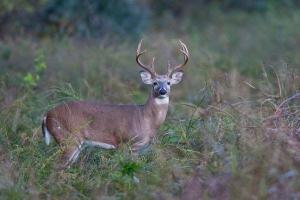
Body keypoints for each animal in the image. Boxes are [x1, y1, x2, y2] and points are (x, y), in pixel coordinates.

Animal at [42, 40, 189, 169]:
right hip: (67, 138)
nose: (163, 91)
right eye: (154, 83)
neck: (147, 119)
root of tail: (46, 115)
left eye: (169, 83)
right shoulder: (125, 143)